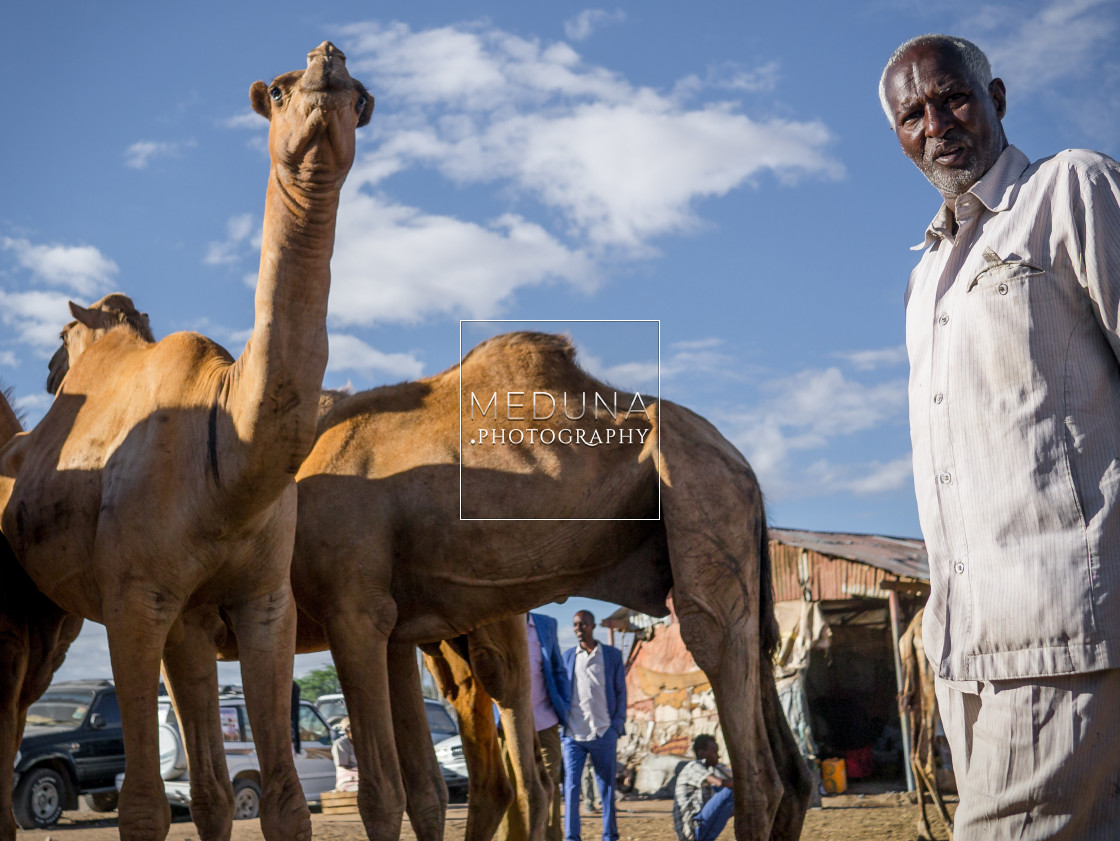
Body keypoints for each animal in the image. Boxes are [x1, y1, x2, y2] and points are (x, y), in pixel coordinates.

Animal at [0, 44, 374, 841]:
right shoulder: (135, 598)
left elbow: (278, 802)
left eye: (361, 100)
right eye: (281, 90)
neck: (226, 469)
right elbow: (142, 805)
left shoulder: (263, 601)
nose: (326, 62)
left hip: (179, 620)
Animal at [265, 331, 810, 841]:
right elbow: (425, 790)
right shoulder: (393, 624)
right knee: (790, 763)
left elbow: (382, 795)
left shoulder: (352, 601)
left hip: (701, 491)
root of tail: (745, 468)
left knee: (719, 664)